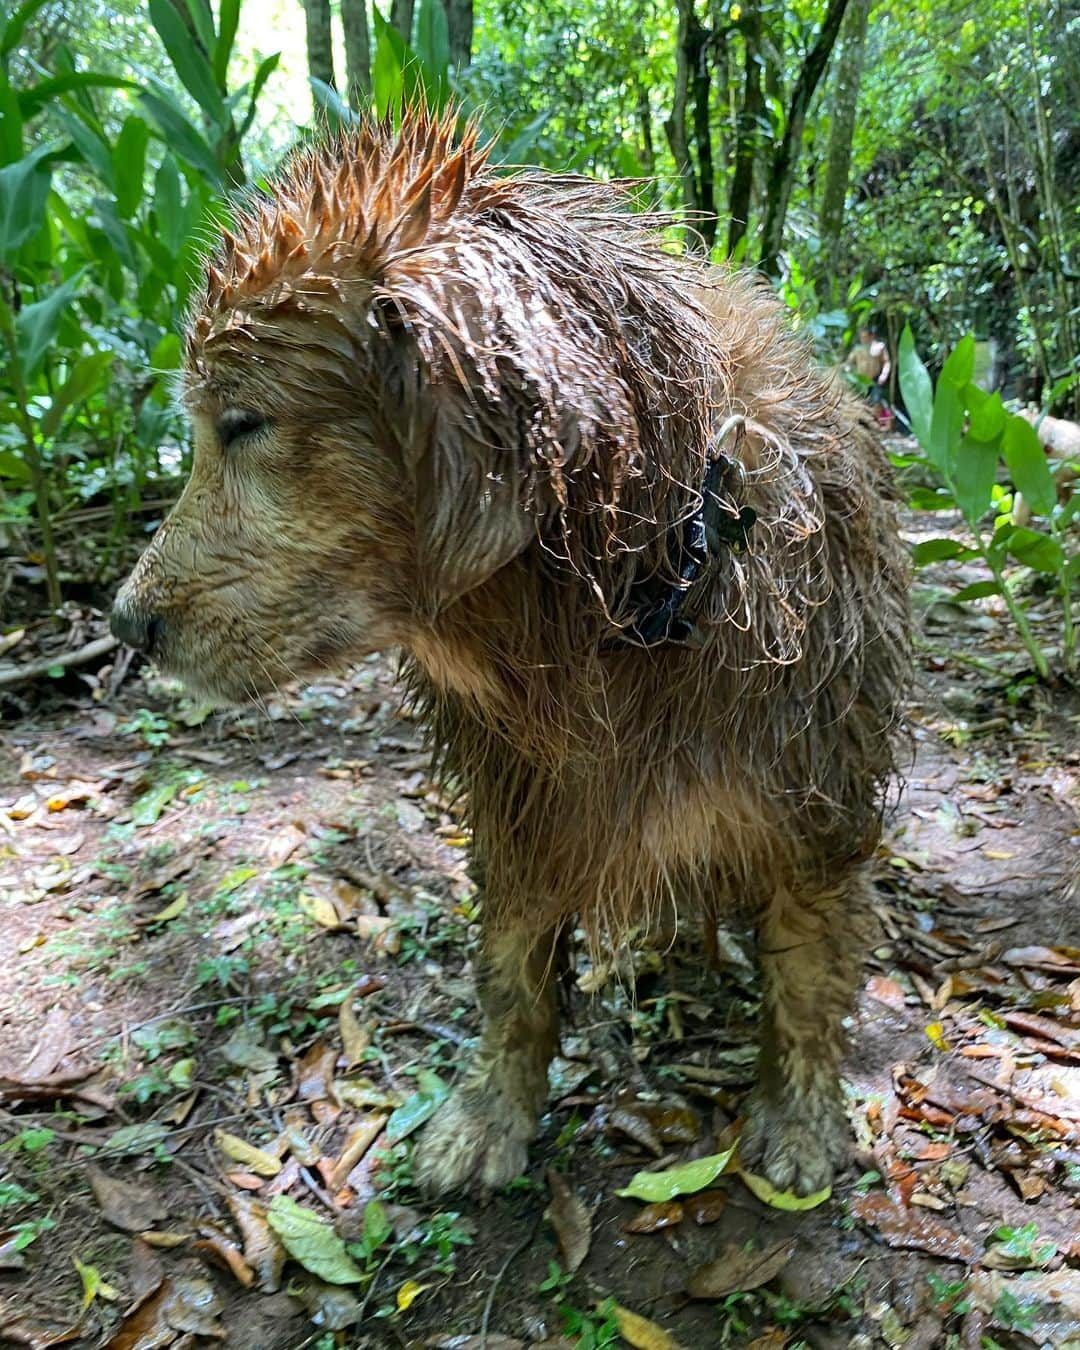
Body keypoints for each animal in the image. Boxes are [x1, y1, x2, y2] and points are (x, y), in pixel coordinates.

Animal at [114, 108, 912, 1204]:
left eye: (242, 424)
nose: (124, 623)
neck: (644, 585)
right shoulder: (524, 801)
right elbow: (513, 971)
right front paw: (490, 1114)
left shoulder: (813, 803)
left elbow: (807, 967)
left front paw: (800, 1117)